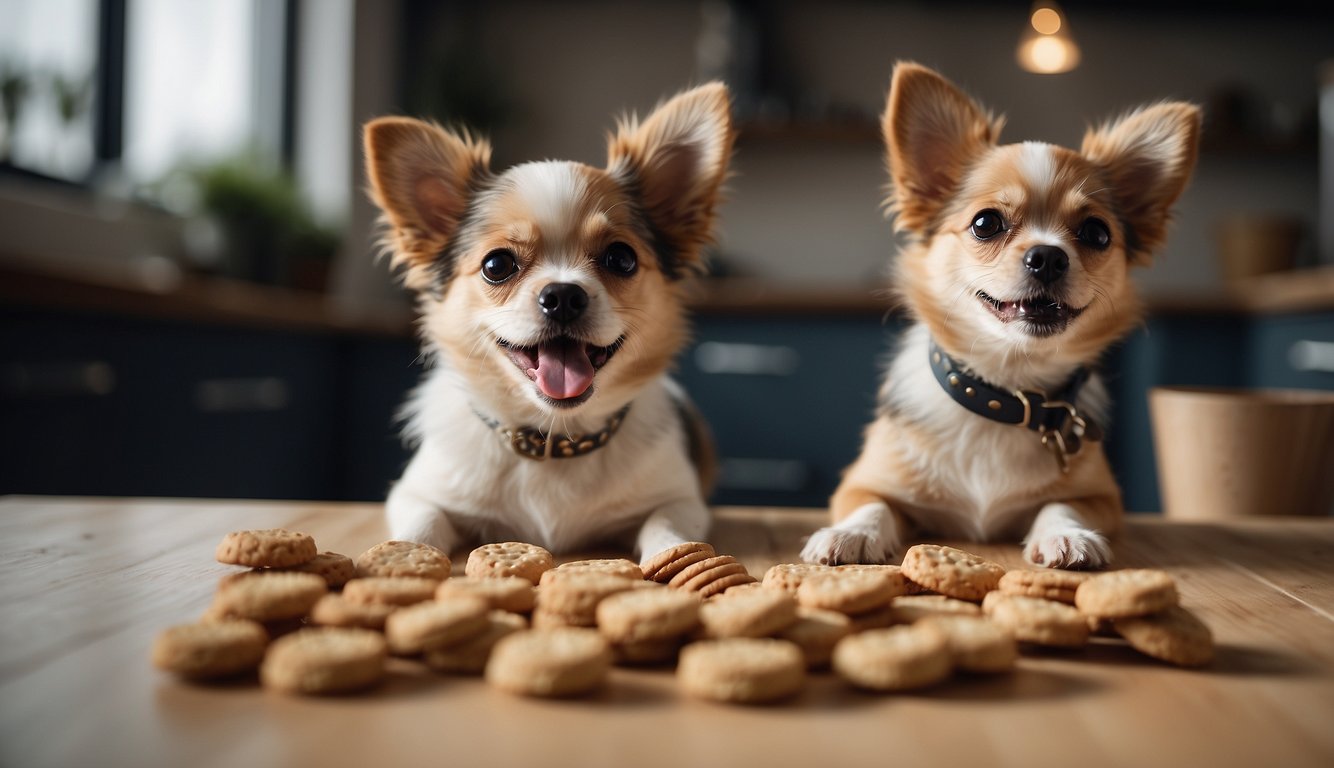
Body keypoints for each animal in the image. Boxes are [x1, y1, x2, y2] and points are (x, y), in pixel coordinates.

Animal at [360, 85, 736, 565]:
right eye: (496, 265)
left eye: (622, 258)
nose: (563, 296)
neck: (556, 437)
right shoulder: (415, 492)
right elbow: (420, 524)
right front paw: (399, 558)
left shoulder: (682, 499)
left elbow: (666, 523)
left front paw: (673, 554)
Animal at [800, 64, 1200, 570]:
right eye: (985, 223)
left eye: (1096, 233)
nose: (1048, 256)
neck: (1007, 387)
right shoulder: (859, 482)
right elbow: (873, 504)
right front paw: (850, 533)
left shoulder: (1103, 499)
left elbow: (1061, 503)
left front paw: (1067, 535)